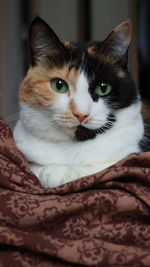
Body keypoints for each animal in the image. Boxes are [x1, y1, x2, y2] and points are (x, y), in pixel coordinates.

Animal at [13, 16, 145, 188]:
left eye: (103, 88)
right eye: (59, 85)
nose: (81, 114)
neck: (73, 148)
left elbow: (111, 167)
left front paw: (59, 171)